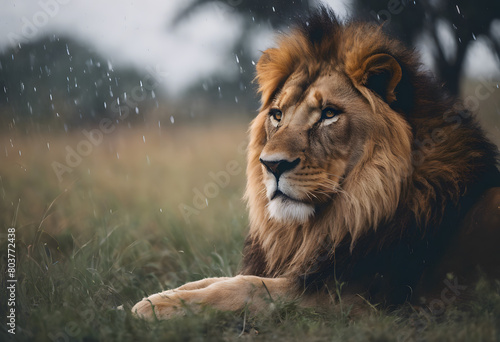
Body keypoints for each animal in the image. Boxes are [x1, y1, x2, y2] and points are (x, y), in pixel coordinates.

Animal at [133, 6, 500, 320]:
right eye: (277, 115)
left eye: (329, 114)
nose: (271, 165)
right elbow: (213, 279)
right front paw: (152, 299)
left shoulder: (354, 300)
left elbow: (244, 287)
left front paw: (155, 309)